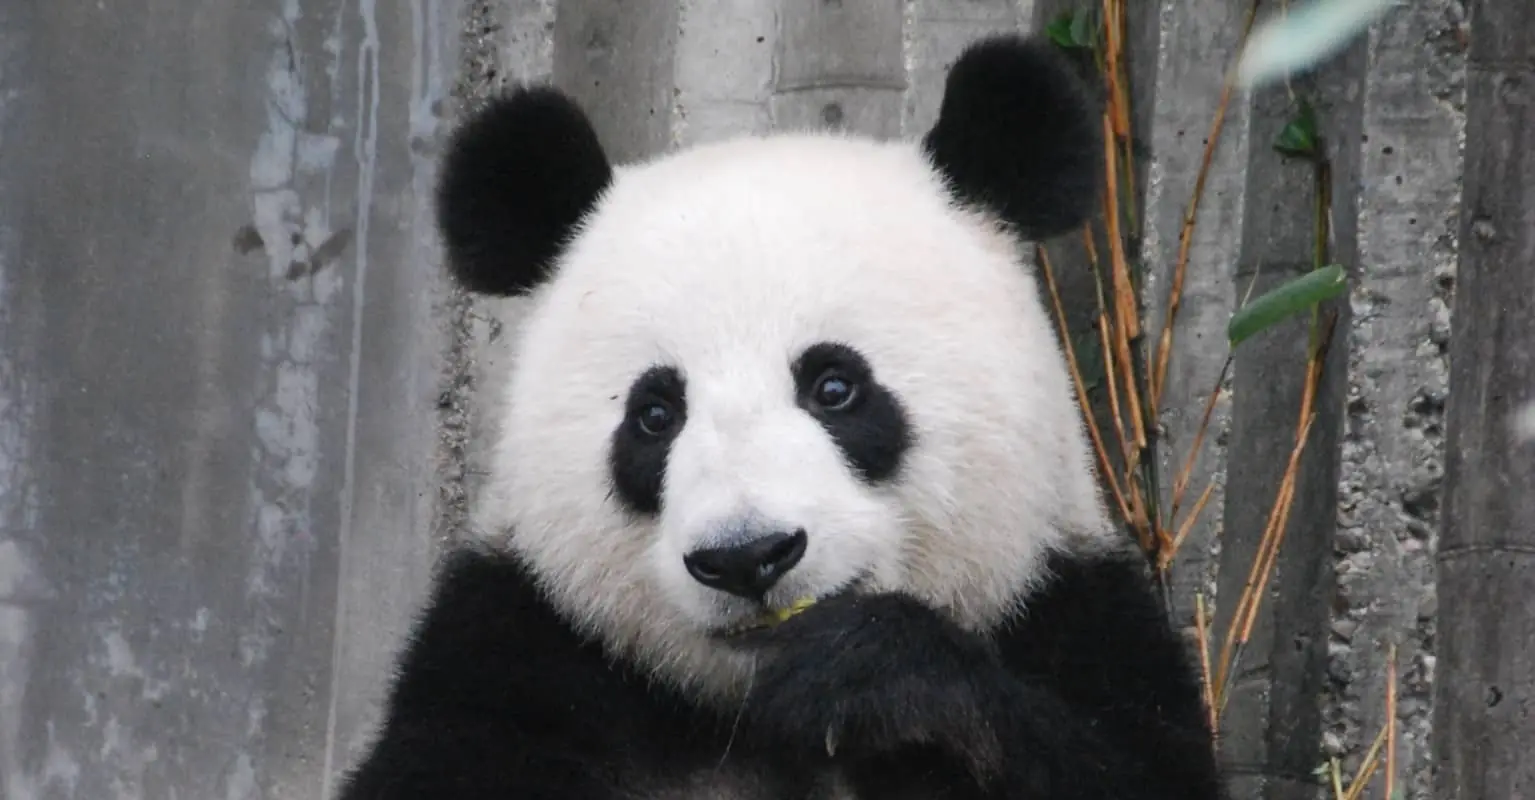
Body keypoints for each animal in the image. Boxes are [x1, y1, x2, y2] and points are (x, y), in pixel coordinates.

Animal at [339, 33, 1223, 800]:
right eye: (653, 415)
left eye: (834, 388)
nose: (745, 557)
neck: (746, 710)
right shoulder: (512, 657)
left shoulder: (1074, 612)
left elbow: (1131, 764)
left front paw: (875, 674)